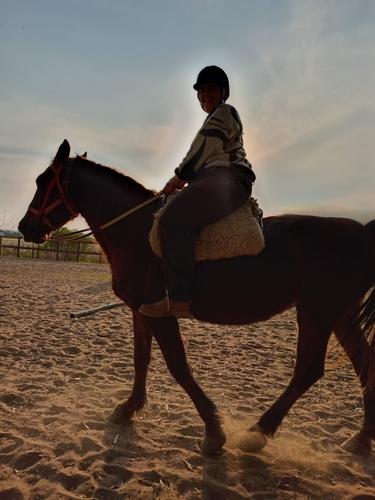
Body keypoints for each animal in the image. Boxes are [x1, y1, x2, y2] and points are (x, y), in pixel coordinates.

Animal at [18, 139, 375, 456]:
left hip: (317, 312)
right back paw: (359, 440)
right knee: (365, 364)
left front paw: (214, 433)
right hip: (340, 315)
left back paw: (258, 433)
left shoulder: (162, 314)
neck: (136, 232)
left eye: (42, 182)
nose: (25, 227)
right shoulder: (141, 311)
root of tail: (363, 233)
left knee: (308, 369)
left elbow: (178, 366)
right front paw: (128, 408)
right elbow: (140, 358)